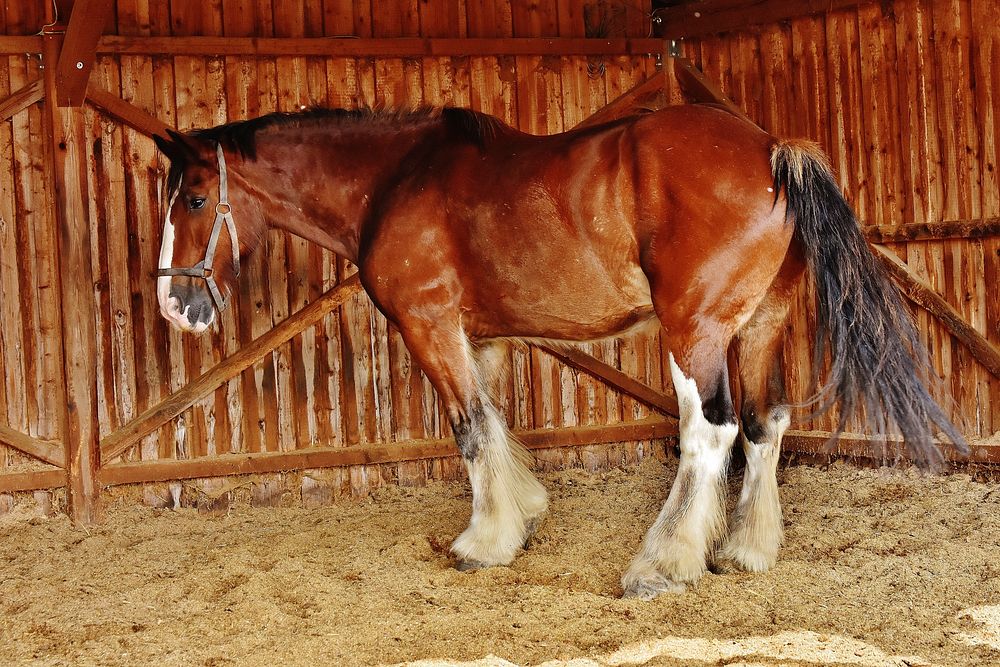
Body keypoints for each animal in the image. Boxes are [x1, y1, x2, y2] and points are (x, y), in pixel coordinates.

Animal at [154, 104, 968, 600]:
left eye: (193, 198)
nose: (171, 304)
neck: (396, 180)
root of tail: (772, 151)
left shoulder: (429, 325)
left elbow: (470, 430)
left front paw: (483, 541)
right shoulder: (480, 336)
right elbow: (494, 422)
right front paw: (522, 513)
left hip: (696, 331)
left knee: (712, 431)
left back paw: (662, 562)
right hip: (759, 327)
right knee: (767, 424)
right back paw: (746, 549)